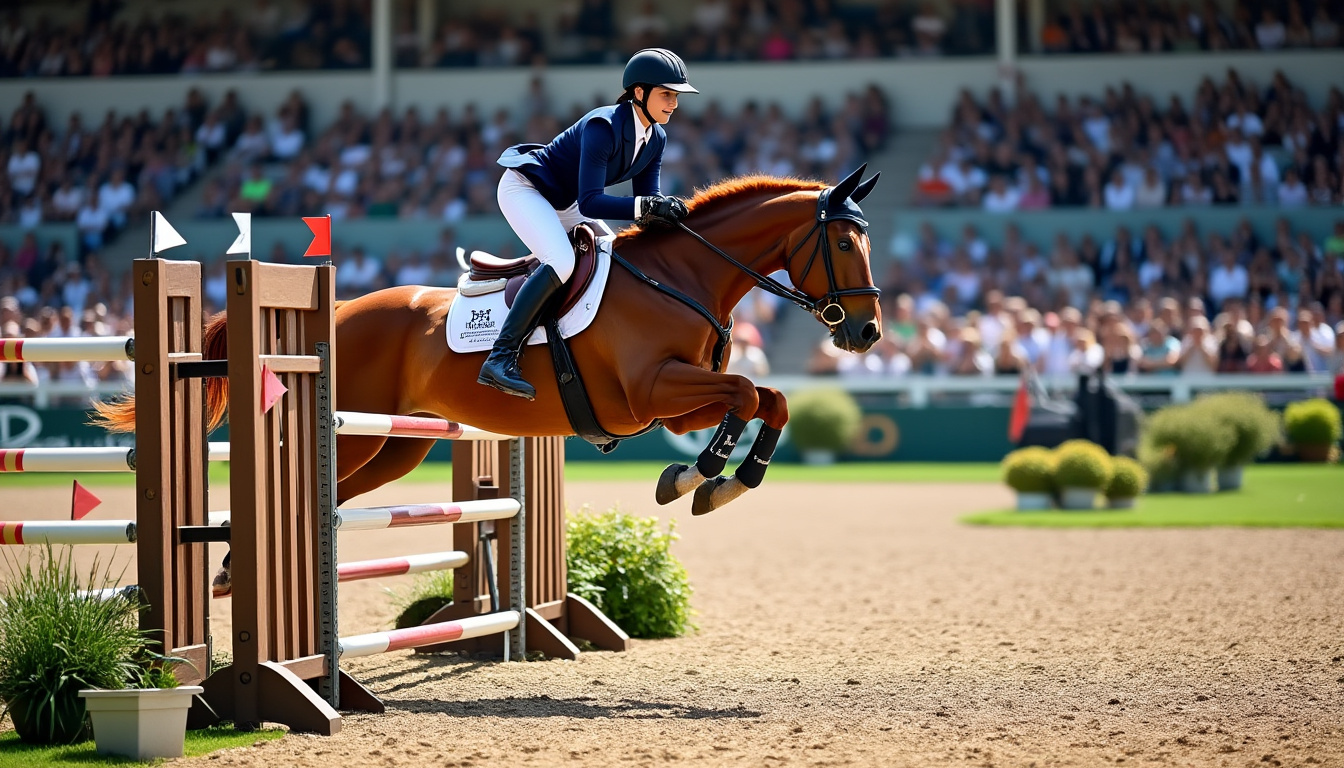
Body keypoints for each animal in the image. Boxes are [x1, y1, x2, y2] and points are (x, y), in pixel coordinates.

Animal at [95, 165, 882, 517]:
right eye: (844, 242)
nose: (868, 332)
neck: (680, 275)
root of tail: (338, 309)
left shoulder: (672, 401)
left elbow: (769, 398)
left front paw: (724, 481)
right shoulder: (649, 391)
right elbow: (747, 392)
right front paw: (698, 476)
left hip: (394, 448)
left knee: (339, 496)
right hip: (356, 435)